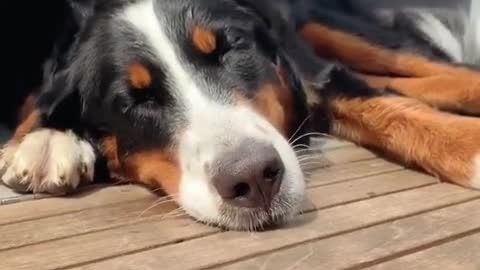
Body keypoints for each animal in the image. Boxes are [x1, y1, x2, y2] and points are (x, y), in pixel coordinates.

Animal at [0, 0, 480, 231]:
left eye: (230, 48)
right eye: (137, 100)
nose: (253, 178)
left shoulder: (313, 72)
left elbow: (383, 105)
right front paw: (46, 140)